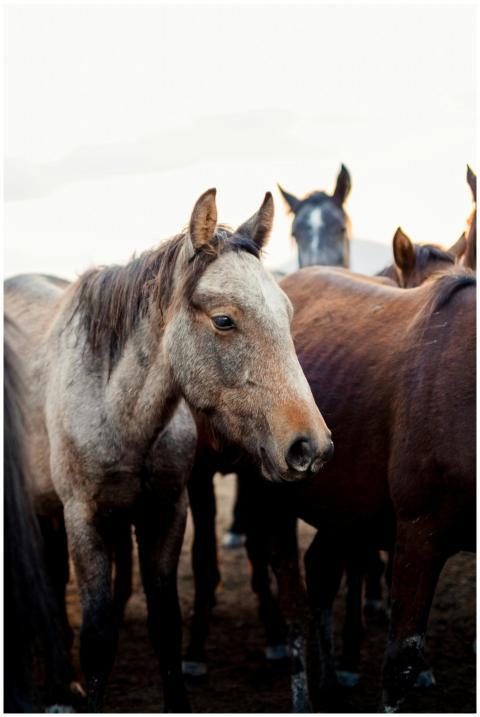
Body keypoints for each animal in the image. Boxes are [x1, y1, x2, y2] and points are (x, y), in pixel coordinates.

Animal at [4, 189, 333, 712]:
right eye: (224, 320)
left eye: (287, 313)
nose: (310, 446)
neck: (117, 409)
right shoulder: (85, 519)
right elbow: (97, 638)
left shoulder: (167, 511)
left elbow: (167, 624)